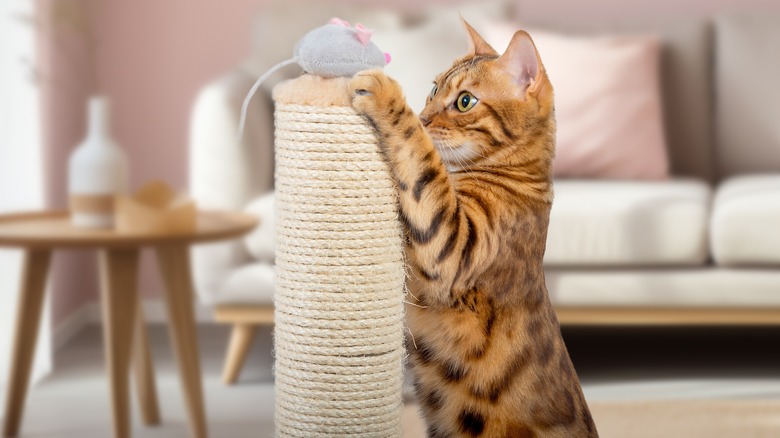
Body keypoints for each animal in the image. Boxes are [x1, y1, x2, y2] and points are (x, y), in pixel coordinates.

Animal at [348, 18, 596, 438]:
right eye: (434, 90)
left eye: (465, 101)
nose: (424, 116)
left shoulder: (453, 246)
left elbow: (421, 159)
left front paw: (387, 95)